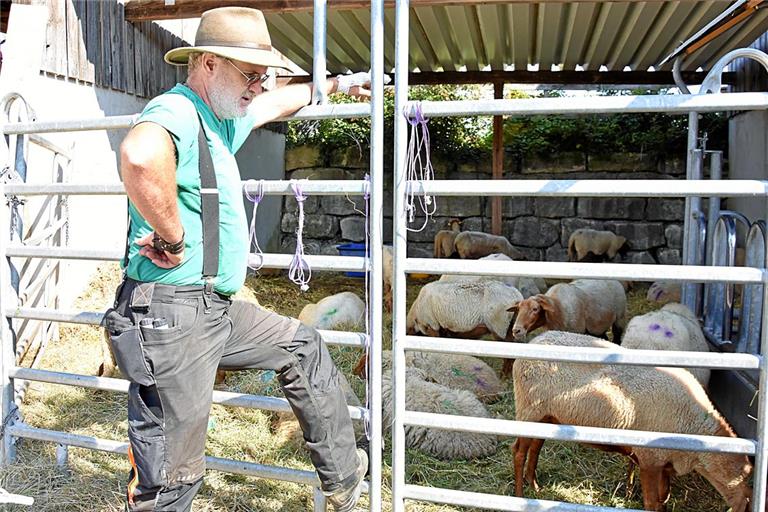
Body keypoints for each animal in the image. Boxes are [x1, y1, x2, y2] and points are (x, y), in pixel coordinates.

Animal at [510, 332, 752, 512]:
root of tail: (536, 340)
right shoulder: (649, 459)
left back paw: (534, 487)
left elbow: (663, 499)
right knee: (519, 452)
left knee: (535, 447)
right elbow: (652, 503)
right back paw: (519, 495)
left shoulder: (664, 463)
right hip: (528, 409)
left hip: (546, 417)